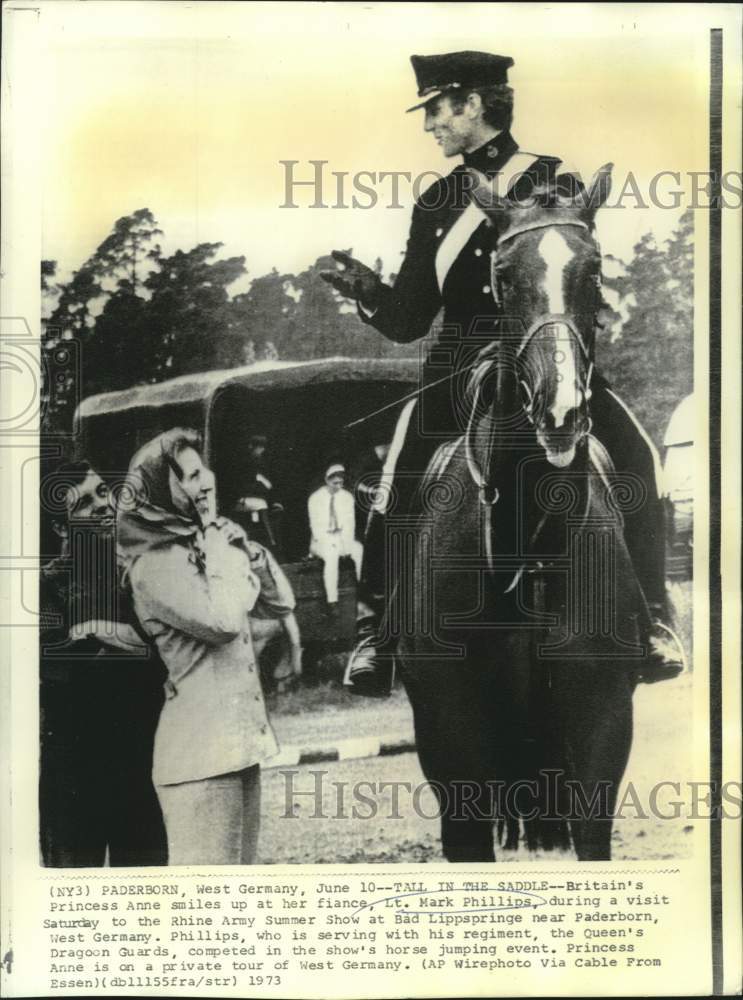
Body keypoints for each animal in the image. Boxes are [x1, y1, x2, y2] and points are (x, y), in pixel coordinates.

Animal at [396, 162, 644, 860]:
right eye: (502, 276)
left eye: (593, 271)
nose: (561, 414)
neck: (525, 543)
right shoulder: (448, 728)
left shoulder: (602, 717)